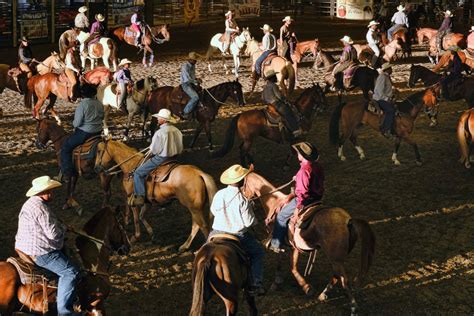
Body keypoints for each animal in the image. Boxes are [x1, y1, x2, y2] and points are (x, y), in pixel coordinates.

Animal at [243, 173, 376, 316]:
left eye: (243, 184)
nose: (244, 196)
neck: (274, 202)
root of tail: (348, 221)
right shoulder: (293, 246)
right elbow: (291, 265)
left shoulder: (279, 241)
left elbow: (288, 264)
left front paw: (297, 285)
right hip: (337, 259)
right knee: (336, 276)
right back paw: (323, 294)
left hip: (335, 259)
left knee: (344, 280)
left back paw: (353, 307)